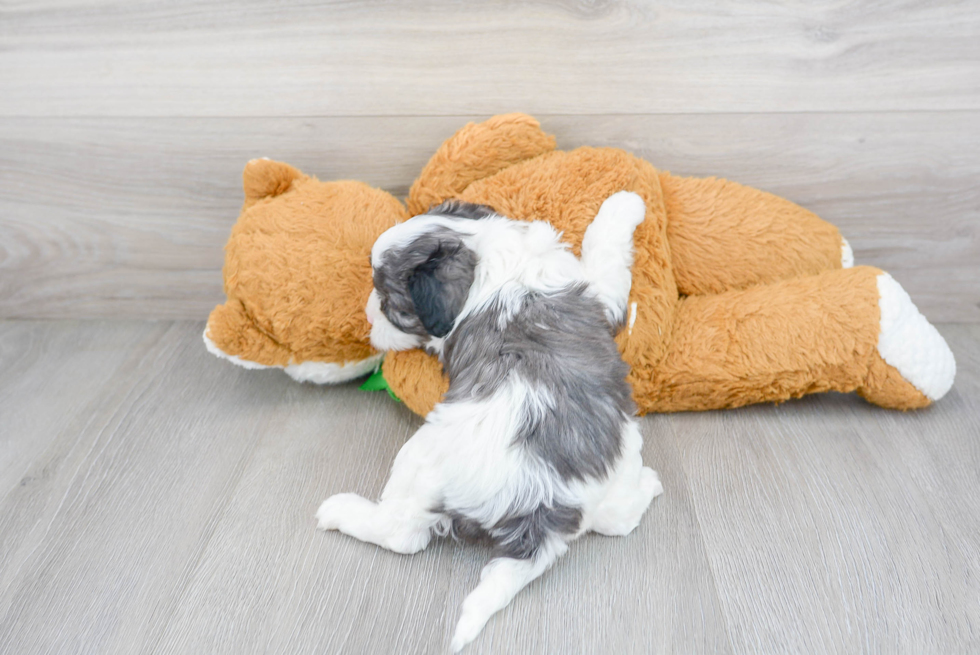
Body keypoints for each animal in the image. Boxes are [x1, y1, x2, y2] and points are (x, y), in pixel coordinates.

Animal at [318, 190, 664, 652]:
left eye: (390, 305)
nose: (368, 316)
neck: (486, 256)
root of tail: (541, 509)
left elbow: (605, 245)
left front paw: (624, 202)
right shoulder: (596, 291)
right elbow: (605, 246)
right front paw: (625, 203)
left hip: (421, 458)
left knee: (401, 532)